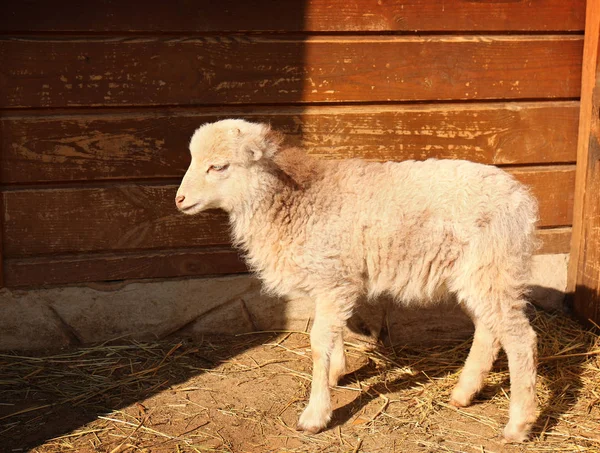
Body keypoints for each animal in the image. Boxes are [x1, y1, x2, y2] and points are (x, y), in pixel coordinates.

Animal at [173, 119, 540, 442]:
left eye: (218, 167)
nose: (179, 199)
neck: (297, 200)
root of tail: (524, 199)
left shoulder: (333, 278)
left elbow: (318, 342)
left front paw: (315, 414)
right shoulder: (334, 279)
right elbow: (334, 332)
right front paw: (337, 371)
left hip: (494, 266)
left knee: (520, 339)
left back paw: (518, 425)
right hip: (479, 274)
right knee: (488, 330)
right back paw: (464, 393)